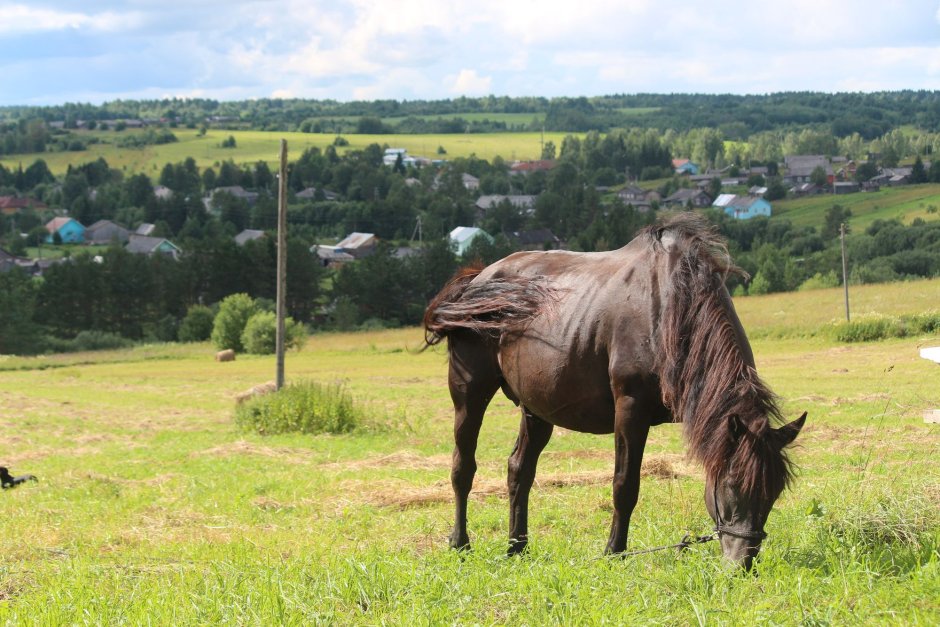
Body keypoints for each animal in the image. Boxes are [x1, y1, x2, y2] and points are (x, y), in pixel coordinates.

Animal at [428, 215, 808, 568]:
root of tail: (478, 280)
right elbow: (625, 485)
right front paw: (614, 551)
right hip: (469, 394)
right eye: (731, 485)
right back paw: (460, 543)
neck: (670, 312)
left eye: (774, 492)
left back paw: (517, 546)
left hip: (536, 409)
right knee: (463, 467)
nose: (742, 563)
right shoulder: (630, 409)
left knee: (519, 470)